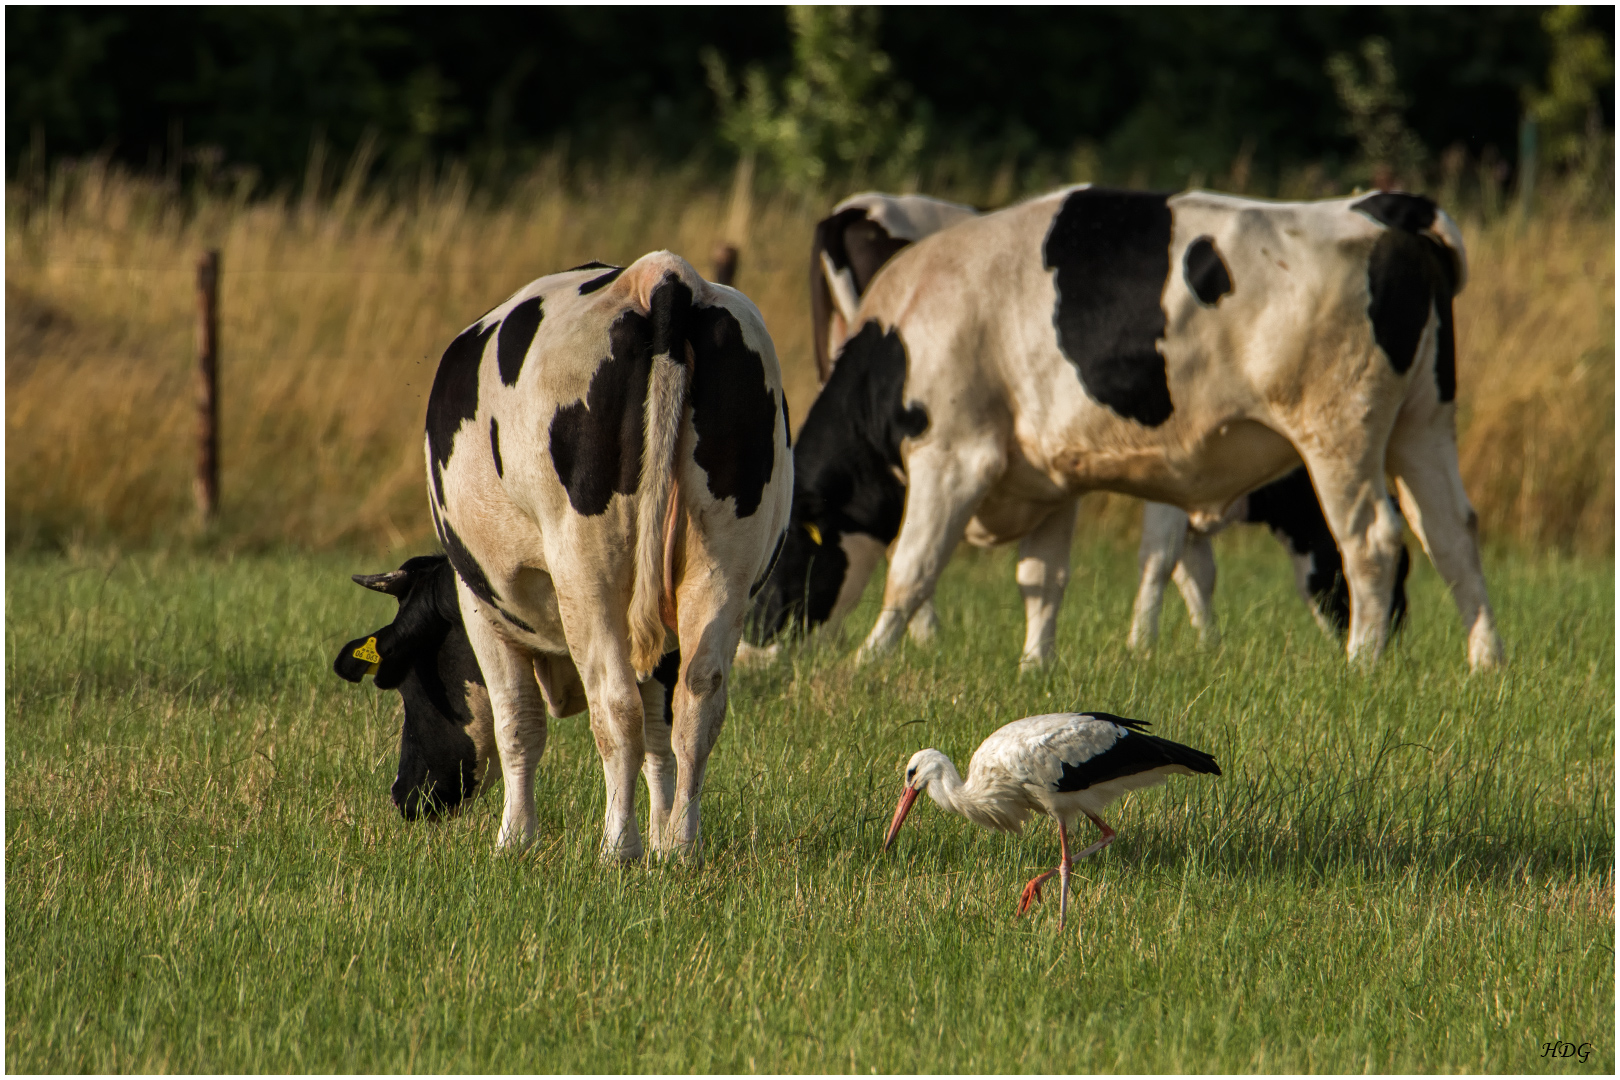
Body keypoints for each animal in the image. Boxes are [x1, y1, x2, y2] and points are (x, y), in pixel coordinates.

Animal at [424, 250, 790, 861]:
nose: (413, 800)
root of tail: (660, 275)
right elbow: (660, 730)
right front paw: (663, 835)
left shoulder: (480, 605)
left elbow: (517, 723)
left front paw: (514, 840)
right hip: (723, 562)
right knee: (699, 699)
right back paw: (682, 846)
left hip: (587, 569)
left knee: (615, 705)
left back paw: (618, 847)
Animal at [751, 190, 1496, 670]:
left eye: (777, 559)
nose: (753, 647)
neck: (907, 332)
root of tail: (1390, 223)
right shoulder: (1046, 479)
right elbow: (1042, 580)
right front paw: (1036, 668)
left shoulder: (956, 455)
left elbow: (912, 567)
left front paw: (869, 660)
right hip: (1423, 425)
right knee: (1451, 533)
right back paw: (1484, 662)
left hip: (1341, 432)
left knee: (1372, 538)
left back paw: (1362, 663)